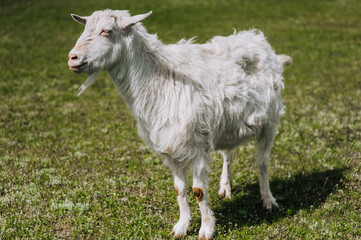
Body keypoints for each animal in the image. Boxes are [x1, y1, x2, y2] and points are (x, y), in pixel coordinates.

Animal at [69, 9, 292, 240]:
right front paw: (181, 226)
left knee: (262, 162)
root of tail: (257, 39)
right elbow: (179, 190)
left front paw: (206, 229)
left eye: (106, 31)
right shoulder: (170, 147)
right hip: (230, 126)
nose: (72, 58)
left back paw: (268, 200)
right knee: (228, 154)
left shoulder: (198, 145)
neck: (164, 81)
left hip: (269, 123)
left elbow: (198, 191)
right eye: (85, 29)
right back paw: (225, 187)